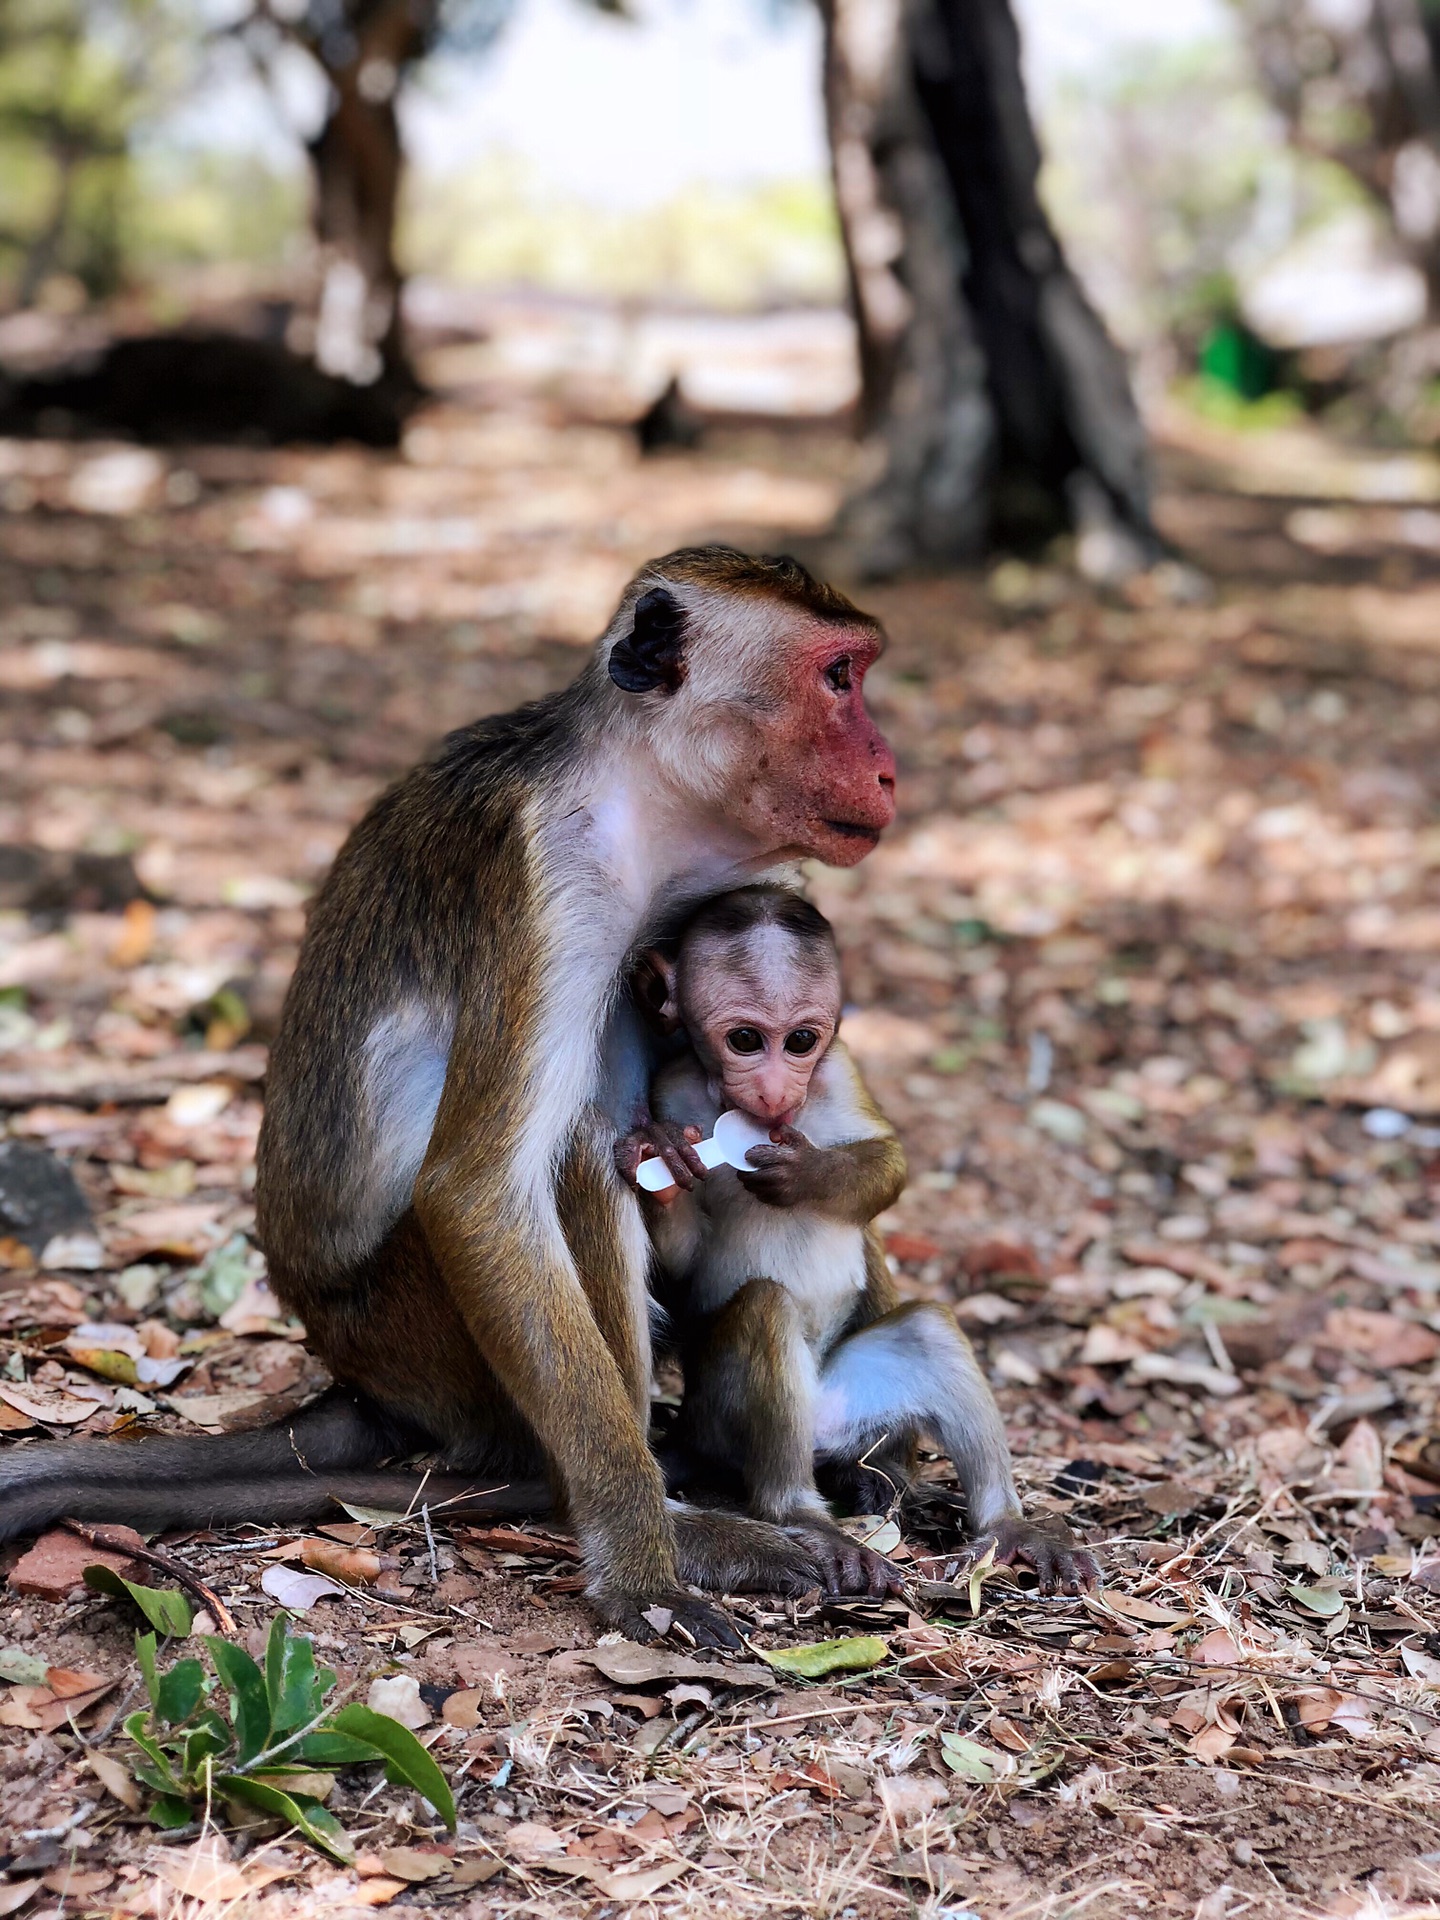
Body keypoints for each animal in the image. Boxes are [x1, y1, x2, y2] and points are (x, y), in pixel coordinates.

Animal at [0, 549, 898, 1643]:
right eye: (838, 678)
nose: (888, 767)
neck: (637, 803)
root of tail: (359, 1376)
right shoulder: (548, 879)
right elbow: (479, 1188)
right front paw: (646, 1568)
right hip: (418, 1336)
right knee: (578, 1157)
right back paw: (646, 1508)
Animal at [614, 890, 1098, 1597]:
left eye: (802, 1041)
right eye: (744, 1040)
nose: (775, 1090)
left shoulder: (838, 1070)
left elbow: (890, 1162)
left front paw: (810, 1175)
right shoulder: (669, 1086)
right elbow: (682, 1262)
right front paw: (662, 1164)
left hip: (860, 1403)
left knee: (926, 1329)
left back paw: (1006, 1525)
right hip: (723, 1418)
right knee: (764, 1309)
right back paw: (803, 1517)